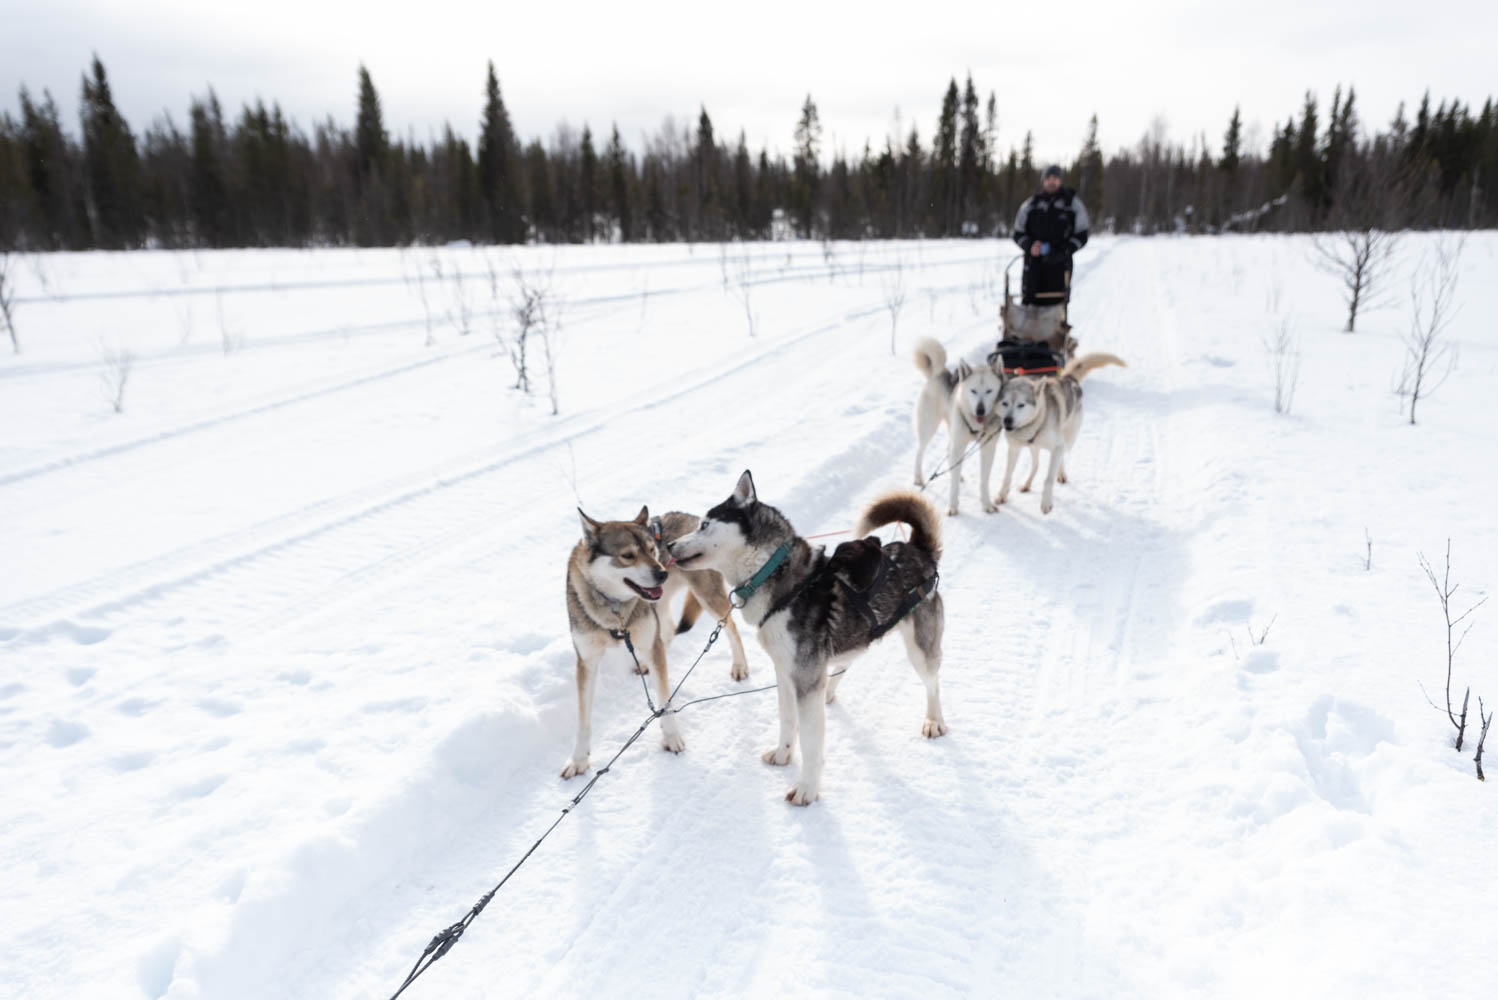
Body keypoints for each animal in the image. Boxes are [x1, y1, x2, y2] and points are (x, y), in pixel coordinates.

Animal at [563, 502, 749, 778]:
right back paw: (645, 664)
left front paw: (671, 737)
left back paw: (739, 666)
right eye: (628, 555)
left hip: (706, 598)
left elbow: (664, 699)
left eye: (651, 550)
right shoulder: (587, 660)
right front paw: (578, 760)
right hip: (659, 607)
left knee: (730, 626)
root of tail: (693, 517)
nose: (663, 572)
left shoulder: (649, 641)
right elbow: (583, 720)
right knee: (668, 631)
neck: (615, 610)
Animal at [671, 473, 946, 808]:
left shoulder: (803, 678)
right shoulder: (786, 673)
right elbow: (788, 721)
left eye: (705, 524)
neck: (772, 573)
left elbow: (811, 744)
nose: (669, 545)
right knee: (847, 663)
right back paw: (830, 691)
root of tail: (917, 550)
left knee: (932, 683)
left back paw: (934, 720)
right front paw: (783, 754)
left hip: (920, 649)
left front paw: (807, 790)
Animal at [910, 339, 1006, 520]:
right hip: (929, 428)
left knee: (949, 453)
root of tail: (939, 372)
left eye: (989, 391)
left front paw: (986, 504)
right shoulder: (959, 445)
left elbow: (984, 480)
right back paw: (918, 478)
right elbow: (953, 485)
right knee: (919, 451)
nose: (980, 410)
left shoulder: (988, 448)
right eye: (973, 391)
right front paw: (952, 506)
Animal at [994, 353, 1126, 511]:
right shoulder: (1014, 449)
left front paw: (1046, 502)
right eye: (1004, 403)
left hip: (1067, 441)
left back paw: (1061, 474)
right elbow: (1008, 475)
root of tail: (1068, 378)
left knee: (1060, 456)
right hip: (1035, 448)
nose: (1007, 420)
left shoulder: (1056, 446)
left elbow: (1048, 478)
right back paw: (1027, 484)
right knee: (1036, 465)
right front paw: (1002, 495)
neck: (1037, 420)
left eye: (1021, 405)